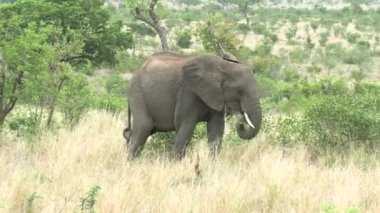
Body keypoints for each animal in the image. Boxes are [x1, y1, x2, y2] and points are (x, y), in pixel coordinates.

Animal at [124, 52, 262, 160]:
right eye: (239, 91)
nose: (241, 123)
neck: (224, 66)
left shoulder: (216, 95)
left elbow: (216, 128)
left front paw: (213, 163)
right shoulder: (188, 92)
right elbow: (185, 125)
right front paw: (174, 165)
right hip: (137, 93)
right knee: (143, 127)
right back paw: (131, 164)